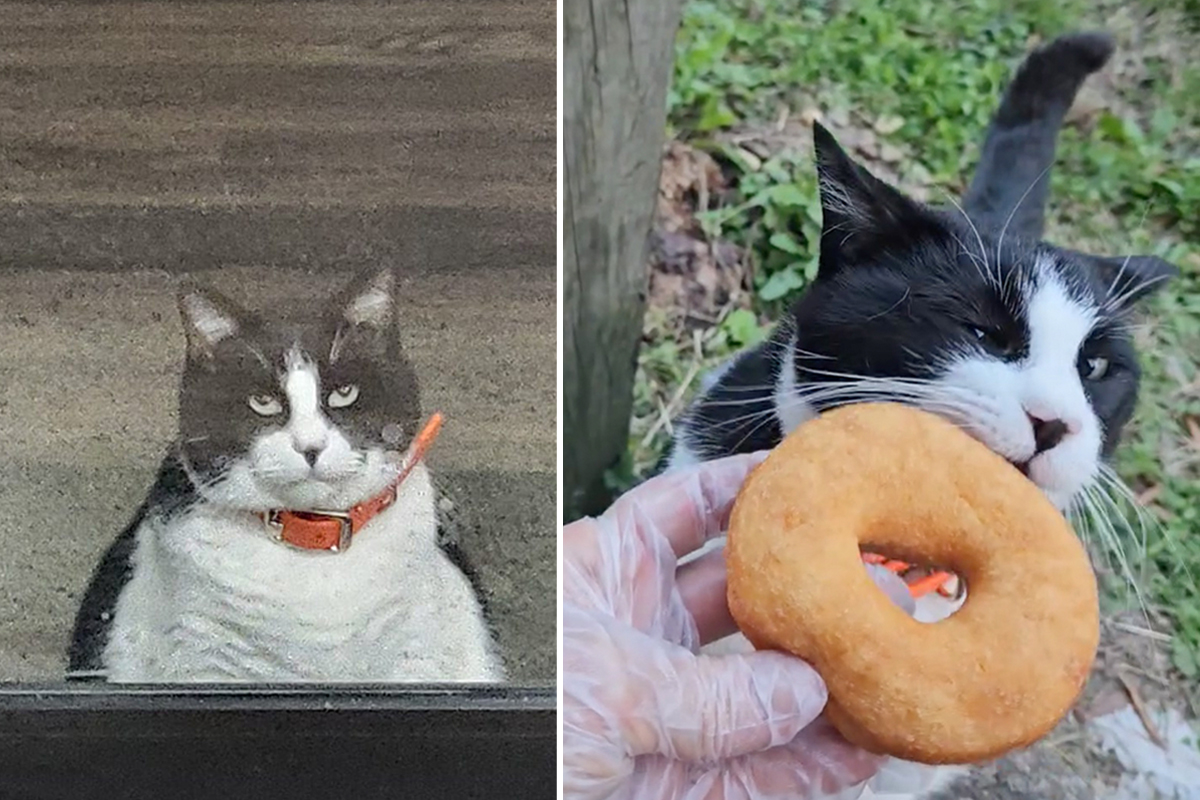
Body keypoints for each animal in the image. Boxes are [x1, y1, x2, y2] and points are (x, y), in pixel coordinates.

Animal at [68, 268, 504, 681]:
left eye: (344, 393)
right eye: (263, 402)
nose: (310, 446)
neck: (312, 541)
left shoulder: (415, 656)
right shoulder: (205, 661)